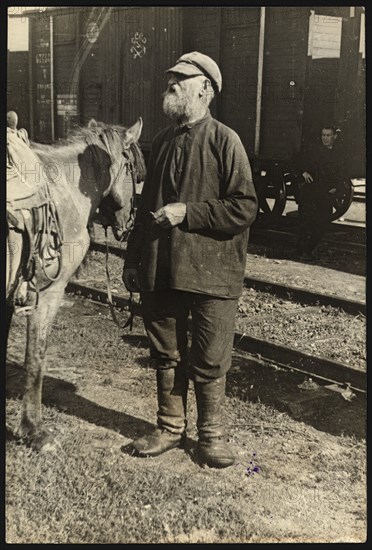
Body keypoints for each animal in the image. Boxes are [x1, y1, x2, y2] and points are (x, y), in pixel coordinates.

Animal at [6, 118, 145, 450]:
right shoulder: (48, 292)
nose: (130, 225)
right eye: (135, 173)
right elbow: (36, 356)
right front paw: (34, 430)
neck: (62, 189)